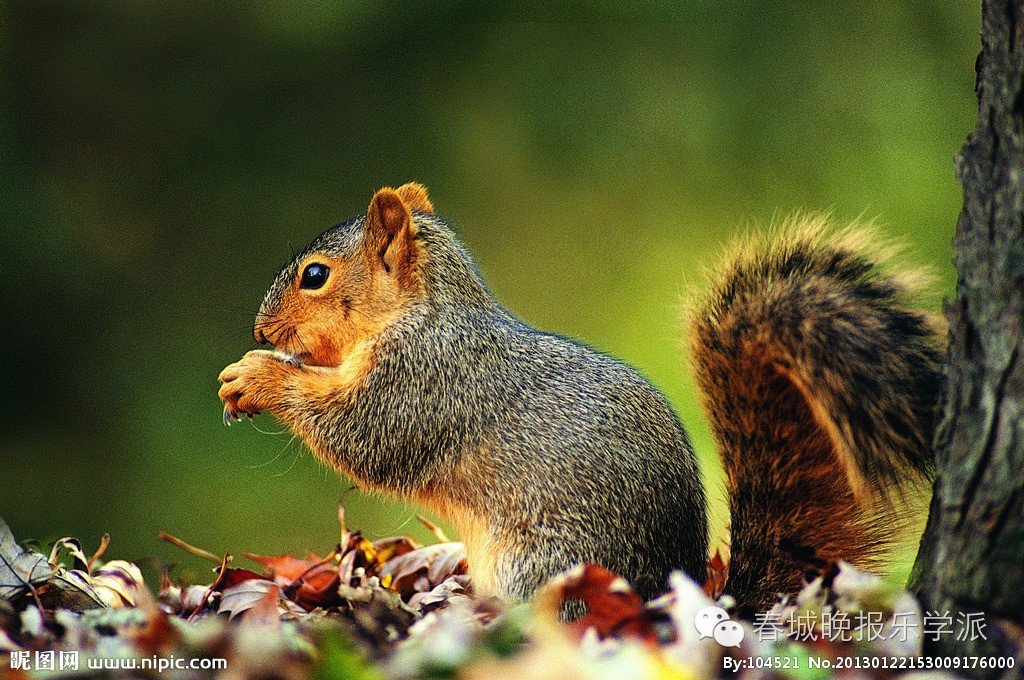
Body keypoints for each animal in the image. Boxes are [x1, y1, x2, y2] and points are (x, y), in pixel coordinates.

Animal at [220, 183, 946, 606]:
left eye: (315, 276)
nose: (259, 328)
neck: (424, 311)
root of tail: (669, 590)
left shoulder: (424, 380)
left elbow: (362, 434)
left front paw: (256, 375)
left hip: (543, 564)